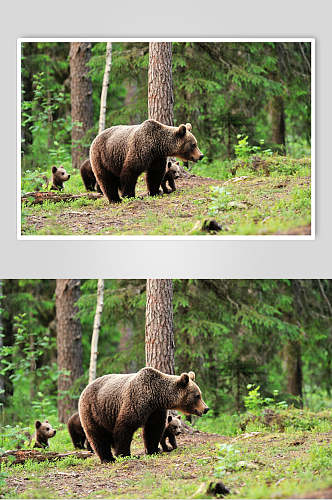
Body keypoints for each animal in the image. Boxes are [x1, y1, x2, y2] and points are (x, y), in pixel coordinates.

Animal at [78, 366, 208, 462]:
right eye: (197, 395)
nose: (206, 408)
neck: (156, 396)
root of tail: (85, 388)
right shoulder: (136, 401)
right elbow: (125, 427)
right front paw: (125, 454)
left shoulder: (156, 410)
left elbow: (153, 429)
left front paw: (153, 450)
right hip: (93, 410)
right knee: (98, 435)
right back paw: (107, 458)